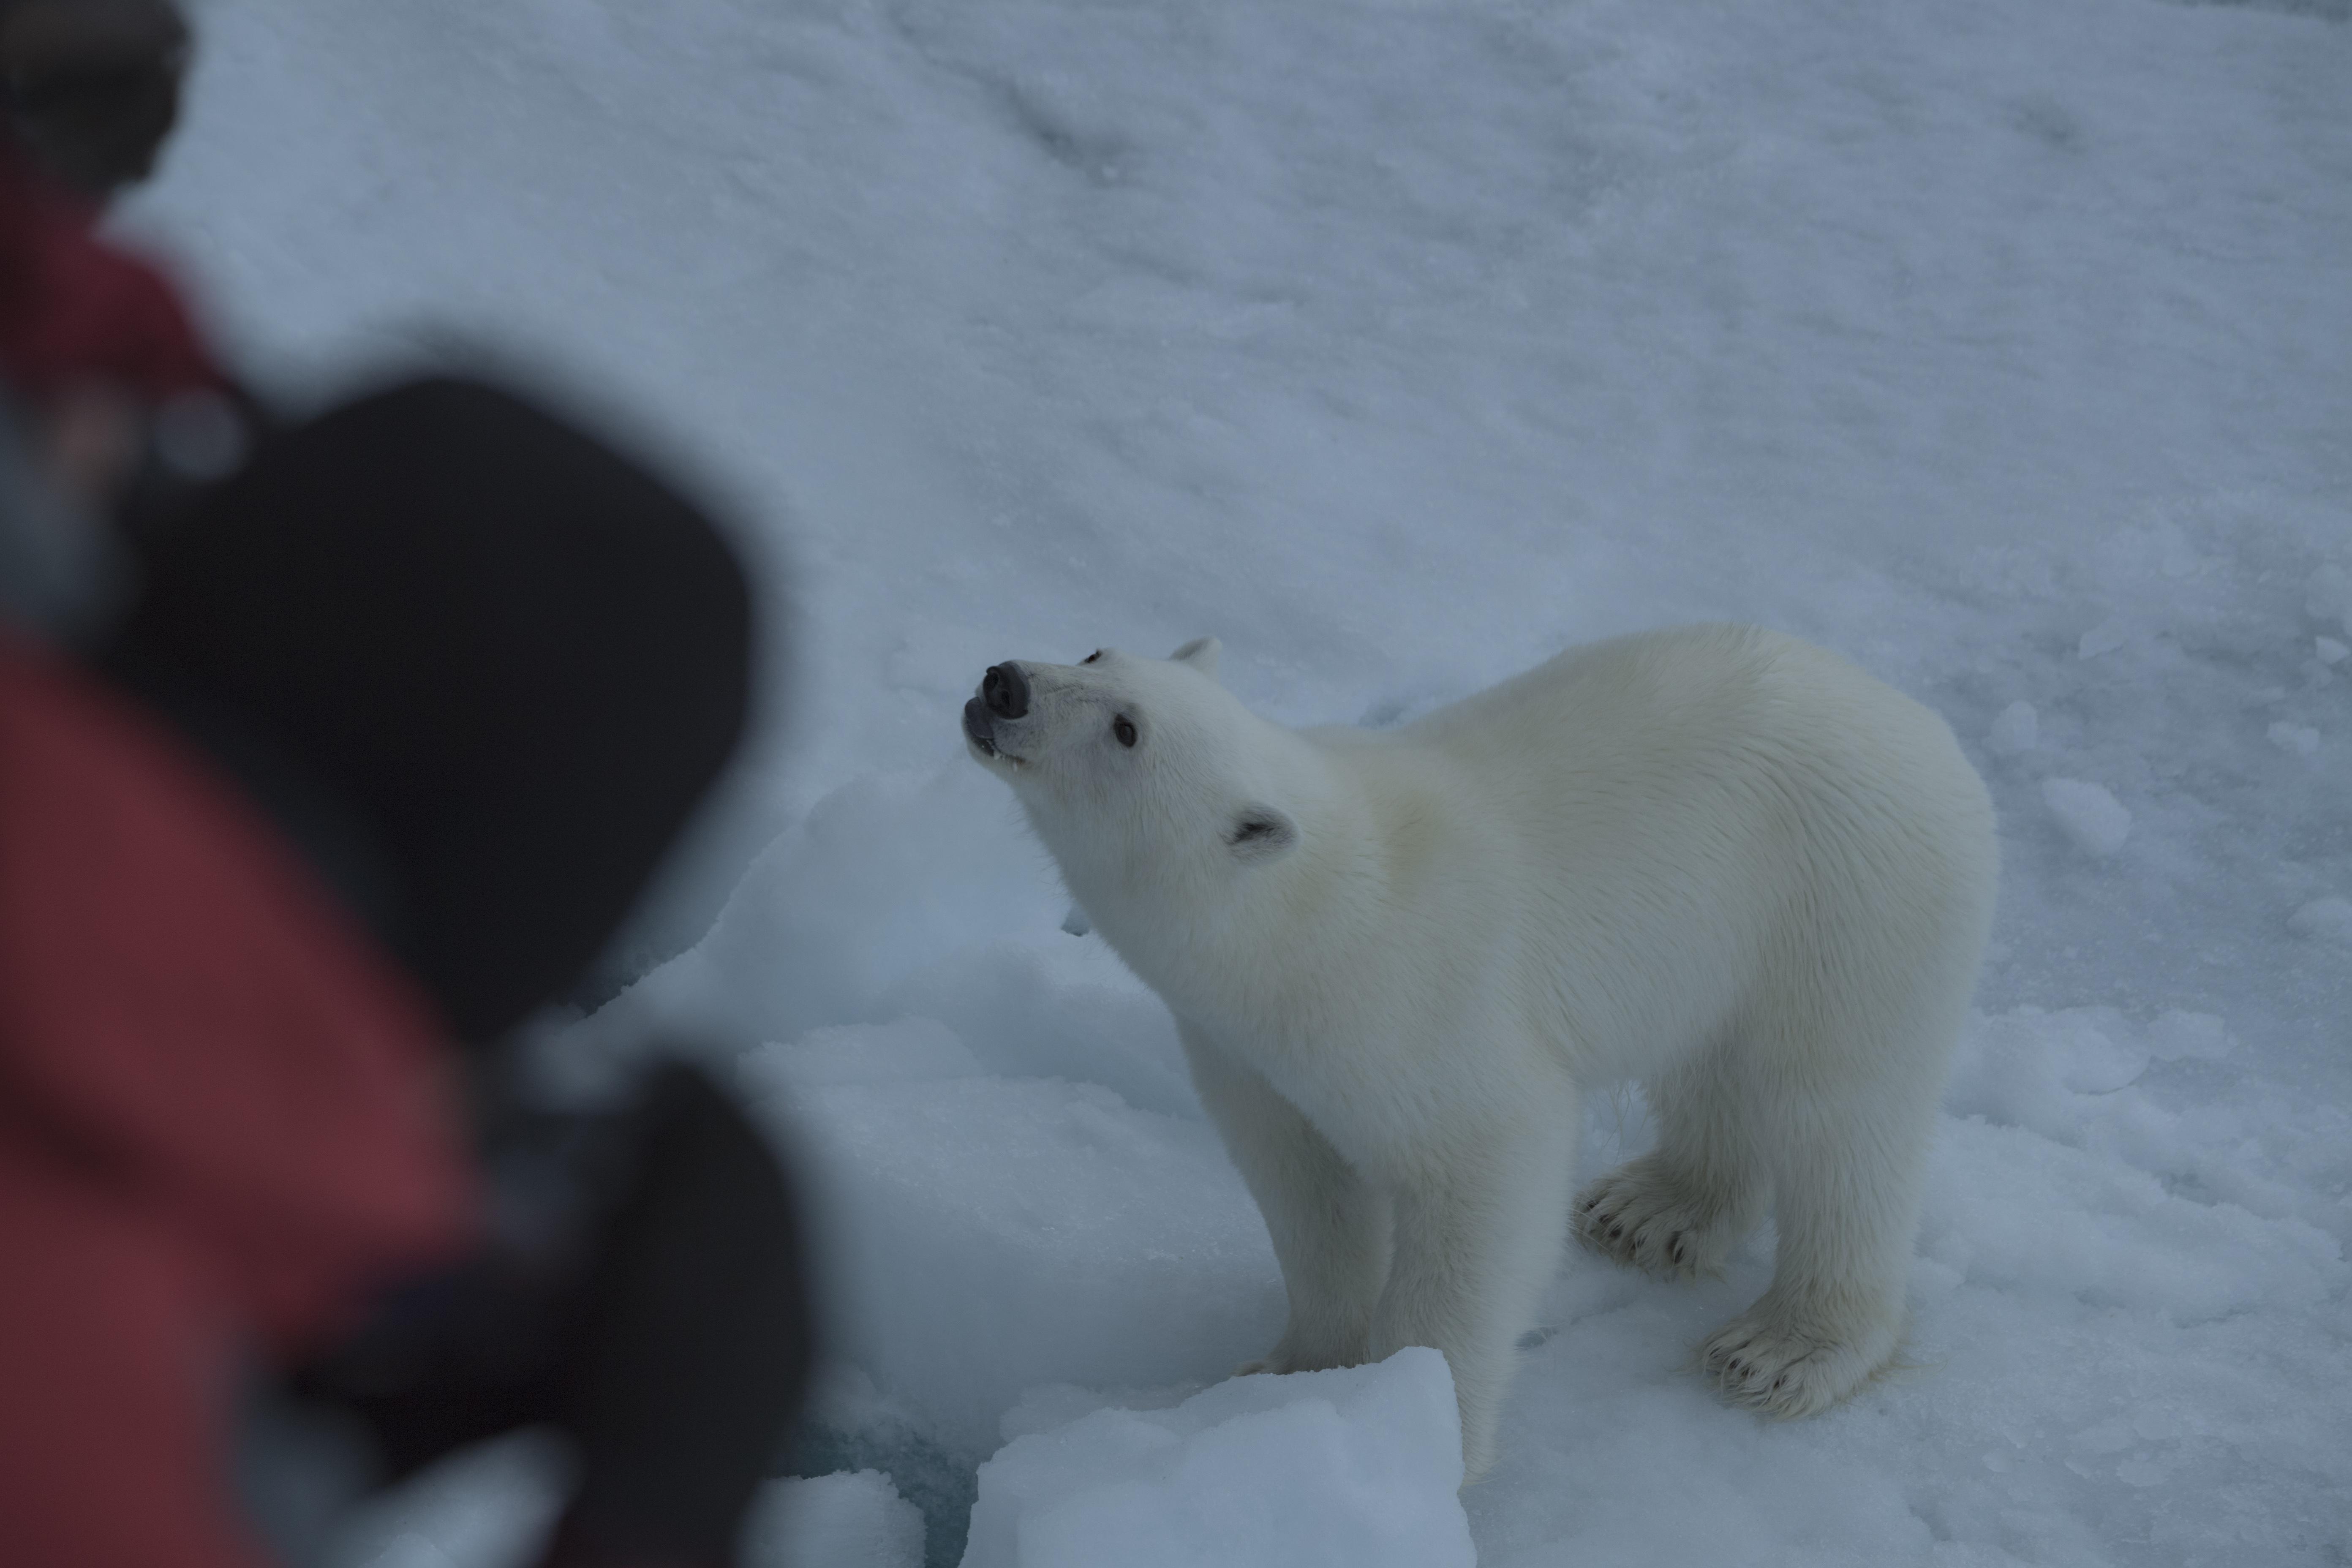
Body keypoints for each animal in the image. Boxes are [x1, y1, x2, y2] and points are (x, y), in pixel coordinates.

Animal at [964, 625, 1994, 1486]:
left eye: (1128, 732)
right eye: (1098, 654)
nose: (1004, 684)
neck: (1297, 927)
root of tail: (1932, 736)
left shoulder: (1419, 1003)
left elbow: (1481, 1180)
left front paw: (1421, 1445)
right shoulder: (1245, 1053)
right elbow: (1305, 1192)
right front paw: (1288, 1373)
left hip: (1849, 908)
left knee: (1841, 1123)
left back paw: (1785, 1347)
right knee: (1718, 1068)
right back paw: (1652, 1207)